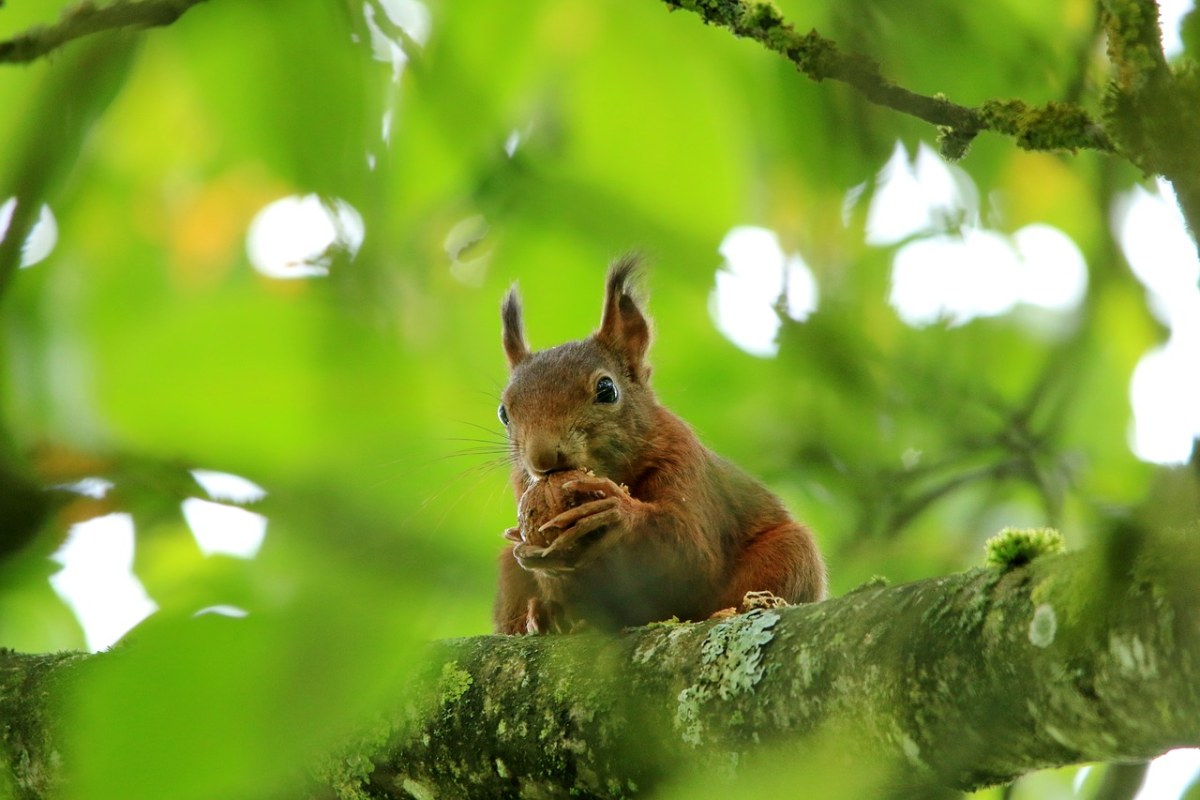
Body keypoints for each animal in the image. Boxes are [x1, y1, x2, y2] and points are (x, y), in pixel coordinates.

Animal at [494, 260, 825, 633]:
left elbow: (690, 553)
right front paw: (530, 553)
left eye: (607, 389)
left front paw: (615, 511)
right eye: (504, 412)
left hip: (791, 551)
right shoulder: (523, 486)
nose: (542, 457)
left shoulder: (685, 463)